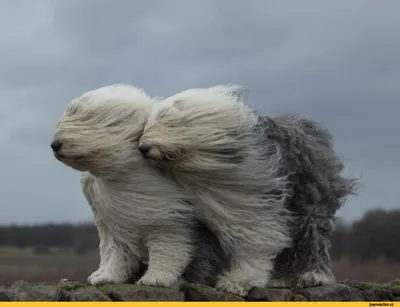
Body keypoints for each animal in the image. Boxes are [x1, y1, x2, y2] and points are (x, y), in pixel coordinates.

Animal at [50, 84, 225, 288]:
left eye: (86, 118)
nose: (55, 145)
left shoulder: (168, 216)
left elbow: (169, 244)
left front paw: (155, 279)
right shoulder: (110, 218)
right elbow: (115, 250)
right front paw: (105, 276)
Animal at [140, 85, 356, 298]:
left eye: (167, 121)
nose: (142, 147)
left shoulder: (254, 204)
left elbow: (253, 242)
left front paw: (239, 281)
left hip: (310, 203)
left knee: (313, 239)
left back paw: (313, 275)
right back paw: (281, 279)